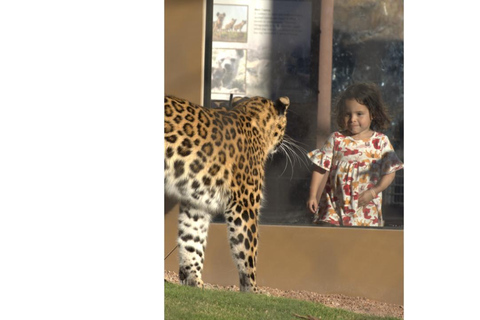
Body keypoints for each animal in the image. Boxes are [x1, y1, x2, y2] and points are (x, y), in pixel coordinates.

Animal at [165, 94, 290, 292]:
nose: (282, 142)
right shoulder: (244, 205)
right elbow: (248, 251)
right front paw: (252, 291)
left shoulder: (197, 204)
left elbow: (192, 240)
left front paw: (194, 282)